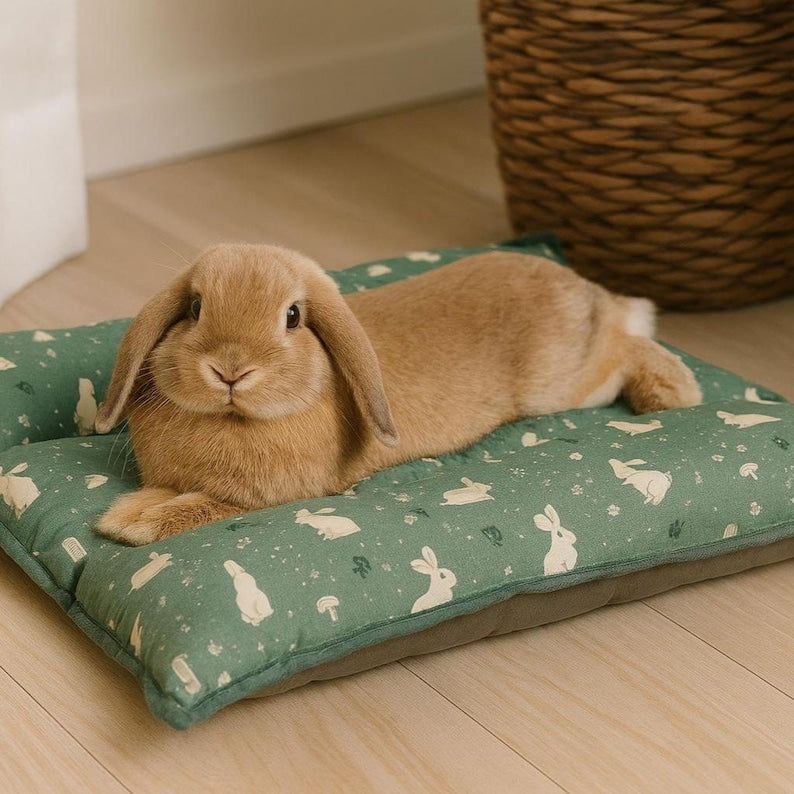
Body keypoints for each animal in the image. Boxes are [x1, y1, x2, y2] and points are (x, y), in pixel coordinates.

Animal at [92, 244, 702, 545]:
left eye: (293, 317)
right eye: (195, 307)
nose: (230, 370)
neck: (231, 419)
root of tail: (586, 287)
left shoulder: (263, 497)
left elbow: (198, 506)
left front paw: (127, 527)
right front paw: (123, 515)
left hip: (567, 385)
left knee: (626, 343)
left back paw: (676, 393)